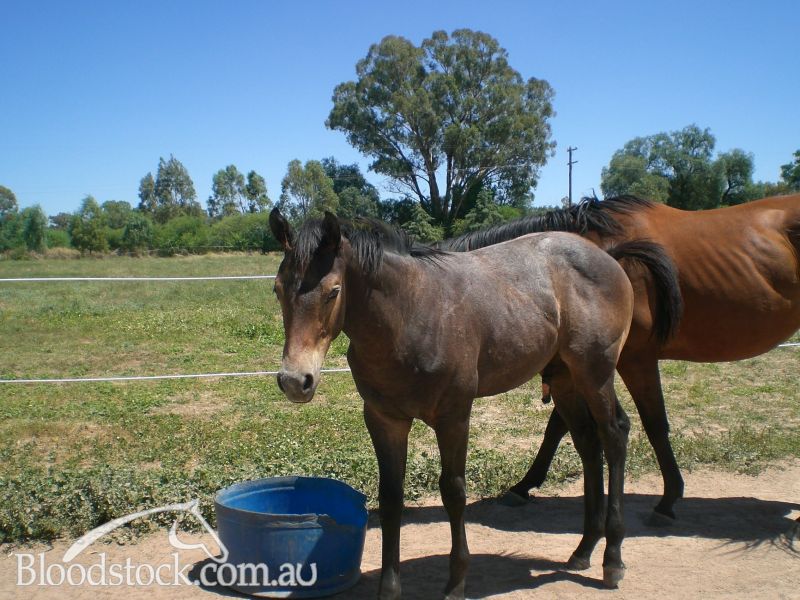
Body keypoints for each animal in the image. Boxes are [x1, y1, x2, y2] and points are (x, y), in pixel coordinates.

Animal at [267, 208, 680, 597]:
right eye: (277, 290)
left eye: (333, 291)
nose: (295, 381)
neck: (410, 315)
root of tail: (608, 257)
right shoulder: (384, 420)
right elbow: (390, 499)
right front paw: (389, 589)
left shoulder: (454, 417)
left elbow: (453, 492)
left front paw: (456, 583)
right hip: (566, 379)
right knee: (588, 444)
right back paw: (583, 550)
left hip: (596, 373)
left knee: (615, 434)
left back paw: (613, 558)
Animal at [439, 193, 800, 520]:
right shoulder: (578, 367)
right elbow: (560, 425)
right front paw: (524, 485)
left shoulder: (632, 360)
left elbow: (654, 424)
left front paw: (668, 499)